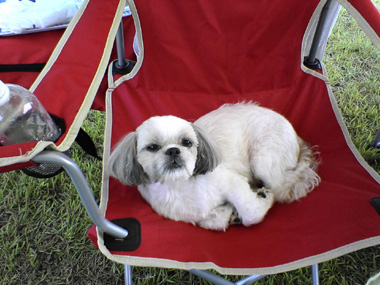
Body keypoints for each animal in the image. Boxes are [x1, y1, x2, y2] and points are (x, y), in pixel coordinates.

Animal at [108, 103, 320, 230]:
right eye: (152, 147)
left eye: (187, 142)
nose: (173, 150)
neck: (178, 187)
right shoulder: (199, 218)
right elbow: (215, 221)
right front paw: (231, 214)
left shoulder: (231, 181)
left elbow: (251, 212)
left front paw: (262, 199)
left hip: (264, 162)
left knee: (280, 188)